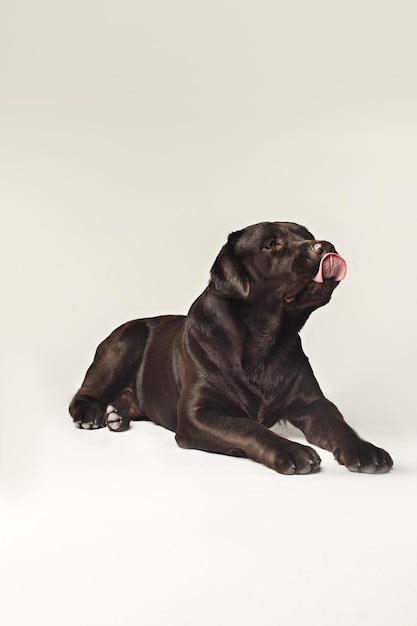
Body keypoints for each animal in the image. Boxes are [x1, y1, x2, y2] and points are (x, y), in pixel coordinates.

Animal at [69, 222, 394, 470]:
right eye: (271, 245)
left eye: (307, 234)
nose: (325, 245)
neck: (265, 344)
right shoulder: (197, 414)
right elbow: (248, 426)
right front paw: (290, 450)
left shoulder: (313, 403)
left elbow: (339, 424)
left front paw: (364, 449)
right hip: (126, 340)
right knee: (84, 394)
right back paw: (93, 414)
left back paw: (117, 413)